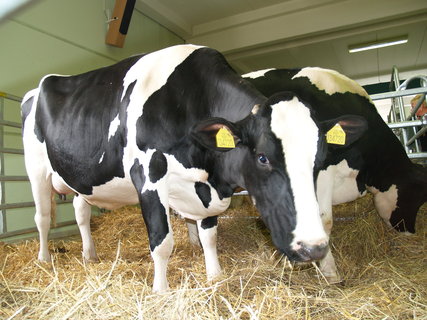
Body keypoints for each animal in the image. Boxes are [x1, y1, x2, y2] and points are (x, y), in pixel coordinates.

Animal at [21, 45, 366, 292]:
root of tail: (41, 85)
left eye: (319, 159)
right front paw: (161, 292)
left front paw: (215, 275)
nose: (314, 248)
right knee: (42, 217)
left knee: (81, 212)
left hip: (79, 179)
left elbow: (209, 235)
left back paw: (89, 255)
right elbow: (162, 242)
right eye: (262, 158)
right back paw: (44, 260)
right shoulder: (148, 176)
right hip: (35, 169)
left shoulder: (205, 186)